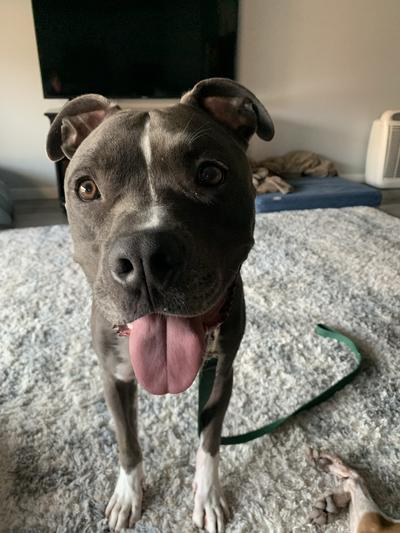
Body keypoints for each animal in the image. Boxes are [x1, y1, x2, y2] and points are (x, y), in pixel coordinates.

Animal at [46, 78, 274, 532]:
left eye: (210, 173)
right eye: (85, 187)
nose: (145, 257)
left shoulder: (222, 373)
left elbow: (209, 441)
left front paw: (208, 495)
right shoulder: (114, 377)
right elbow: (128, 443)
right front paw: (128, 496)